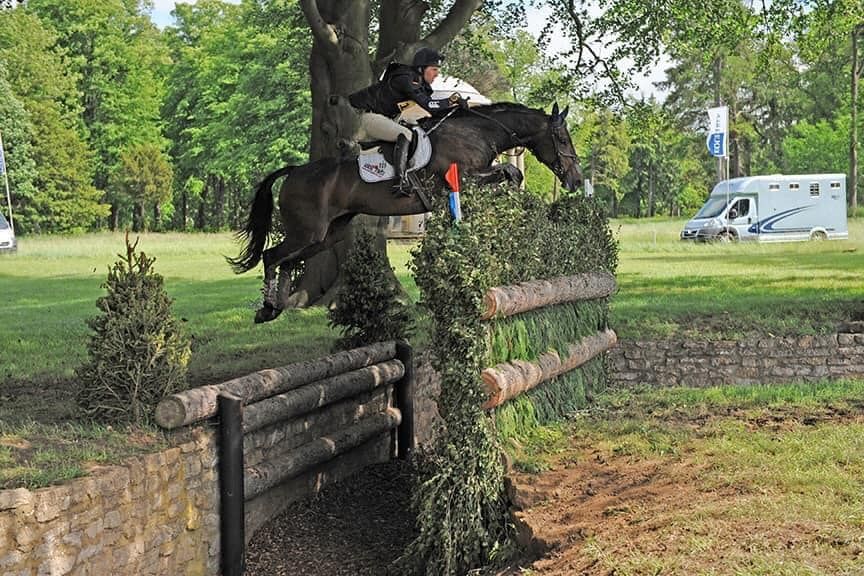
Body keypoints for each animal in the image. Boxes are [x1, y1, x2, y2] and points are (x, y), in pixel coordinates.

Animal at [230, 101, 580, 322]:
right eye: (562, 139)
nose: (575, 180)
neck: (476, 133)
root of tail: (294, 172)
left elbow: (511, 174)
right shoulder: (461, 177)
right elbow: (508, 171)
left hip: (328, 234)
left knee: (288, 261)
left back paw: (277, 307)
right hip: (308, 230)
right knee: (271, 256)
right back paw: (266, 309)